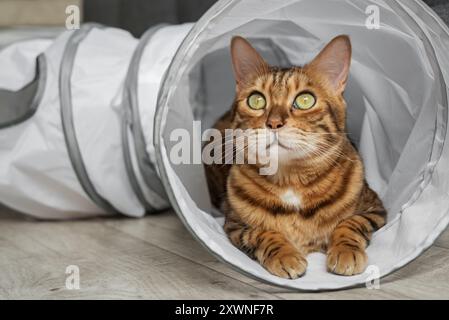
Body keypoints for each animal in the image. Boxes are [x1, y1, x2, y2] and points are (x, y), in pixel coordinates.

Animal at [205, 35, 386, 278]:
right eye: (256, 100)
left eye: (305, 100)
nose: (273, 123)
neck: (290, 179)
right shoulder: (234, 224)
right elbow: (261, 232)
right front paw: (285, 255)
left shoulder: (375, 208)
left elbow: (351, 223)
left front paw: (345, 251)